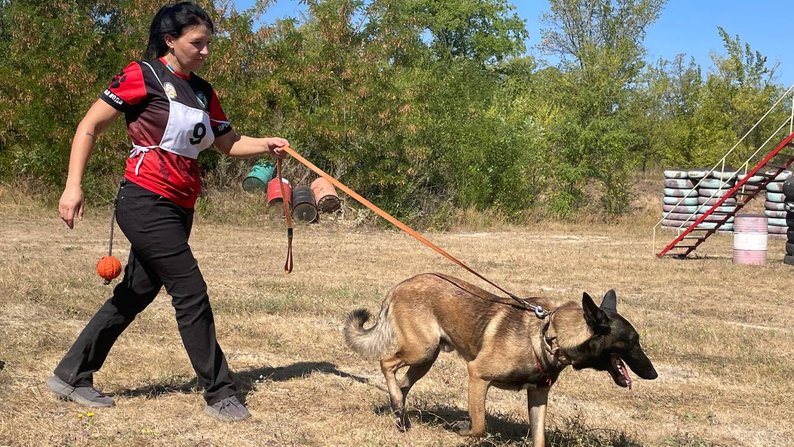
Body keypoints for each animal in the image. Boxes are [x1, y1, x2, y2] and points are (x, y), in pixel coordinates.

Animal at [344, 272, 660, 447]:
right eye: (633, 341)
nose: (654, 374)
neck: (550, 335)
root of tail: (399, 286)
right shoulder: (477, 375)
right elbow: (480, 426)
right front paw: (461, 428)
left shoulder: (538, 395)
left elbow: (539, 438)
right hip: (422, 349)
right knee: (386, 363)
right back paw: (398, 407)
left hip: (426, 358)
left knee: (403, 384)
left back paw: (400, 413)